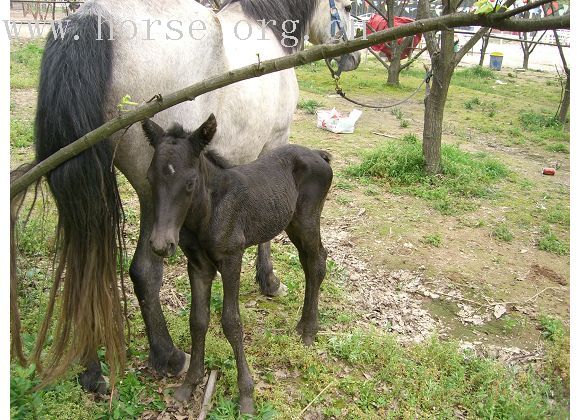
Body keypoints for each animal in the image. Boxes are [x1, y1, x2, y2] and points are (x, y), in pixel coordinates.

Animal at [143, 113, 334, 412]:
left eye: (190, 182)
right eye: (150, 178)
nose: (162, 244)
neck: (207, 213)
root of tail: (319, 154)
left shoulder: (232, 258)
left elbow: (231, 322)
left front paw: (246, 394)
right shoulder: (197, 265)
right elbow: (198, 320)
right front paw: (189, 384)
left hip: (307, 219)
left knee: (317, 262)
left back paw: (309, 332)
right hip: (292, 223)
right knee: (308, 262)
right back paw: (303, 324)